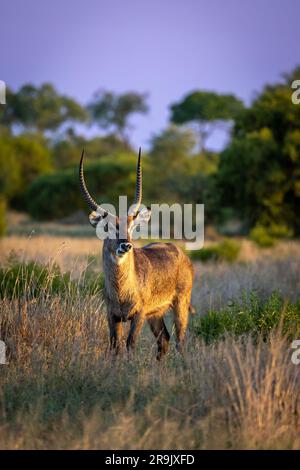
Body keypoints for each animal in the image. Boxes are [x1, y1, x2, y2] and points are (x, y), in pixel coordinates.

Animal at [78, 149, 195, 358]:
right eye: (108, 227)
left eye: (132, 226)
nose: (126, 246)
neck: (122, 290)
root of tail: (182, 254)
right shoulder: (112, 316)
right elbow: (115, 345)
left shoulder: (138, 315)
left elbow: (130, 344)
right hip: (155, 314)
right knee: (164, 339)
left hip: (180, 304)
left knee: (180, 341)